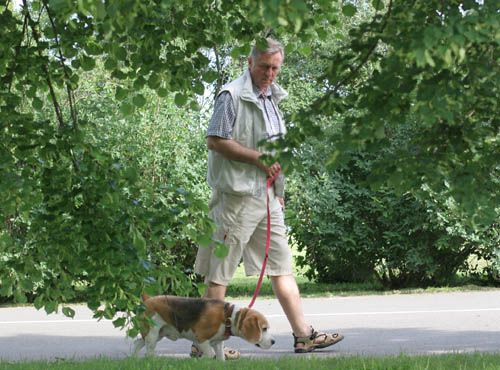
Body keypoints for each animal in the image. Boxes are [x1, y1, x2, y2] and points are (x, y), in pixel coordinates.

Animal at [133, 294, 276, 362]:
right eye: (264, 329)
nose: (274, 342)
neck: (228, 316)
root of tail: (147, 299)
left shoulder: (218, 343)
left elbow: (220, 357)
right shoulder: (201, 339)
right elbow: (210, 354)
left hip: (157, 334)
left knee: (137, 343)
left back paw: (134, 359)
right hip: (152, 334)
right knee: (148, 351)